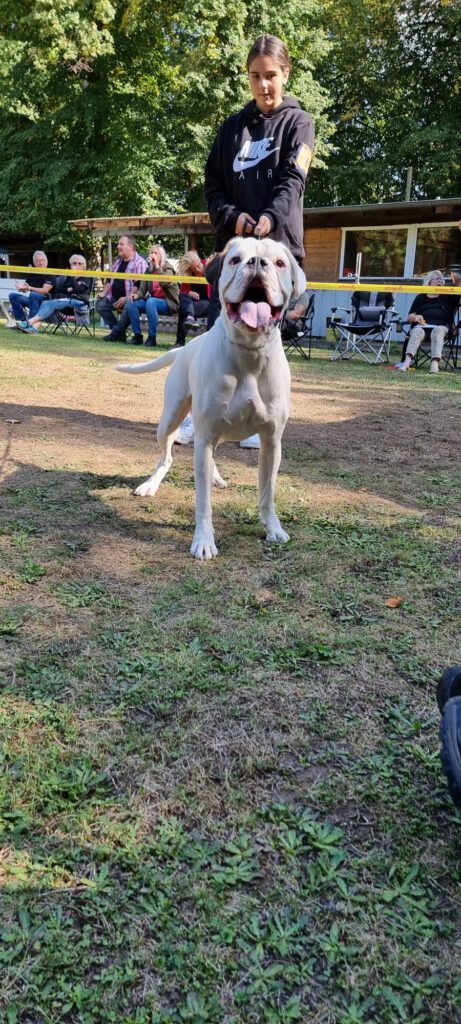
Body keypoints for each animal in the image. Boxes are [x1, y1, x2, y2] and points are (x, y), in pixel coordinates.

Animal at [117, 235, 305, 561]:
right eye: (235, 259)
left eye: (280, 263)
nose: (257, 262)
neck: (249, 353)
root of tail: (183, 348)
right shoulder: (205, 439)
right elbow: (203, 502)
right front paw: (203, 541)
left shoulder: (271, 443)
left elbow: (267, 493)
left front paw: (273, 528)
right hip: (170, 420)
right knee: (166, 456)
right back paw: (150, 485)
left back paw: (215, 476)